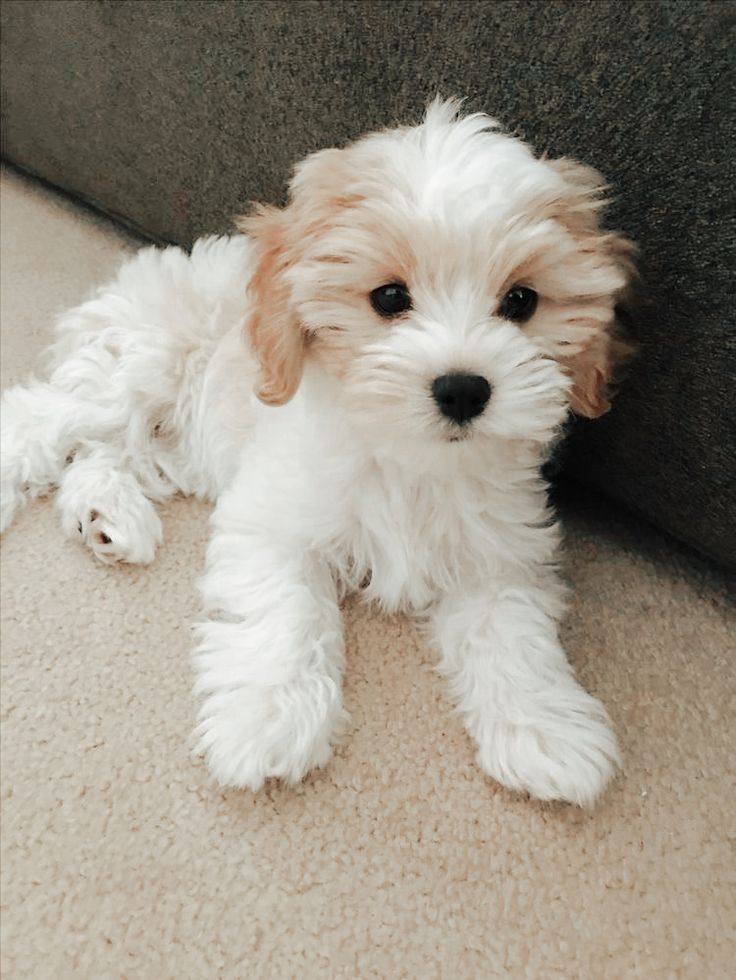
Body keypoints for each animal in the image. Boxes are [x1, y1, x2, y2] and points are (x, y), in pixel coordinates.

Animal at [0, 97, 636, 804]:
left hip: (172, 440)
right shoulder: (275, 520)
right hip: (138, 374)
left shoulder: (497, 550)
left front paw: (545, 728)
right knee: (42, 419)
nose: (463, 389)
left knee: (104, 454)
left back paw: (108, 518)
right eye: (389, 297)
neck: (407, 459)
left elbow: (512, 631)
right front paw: (268, 718)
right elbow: (286, 614)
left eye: (521, 301)